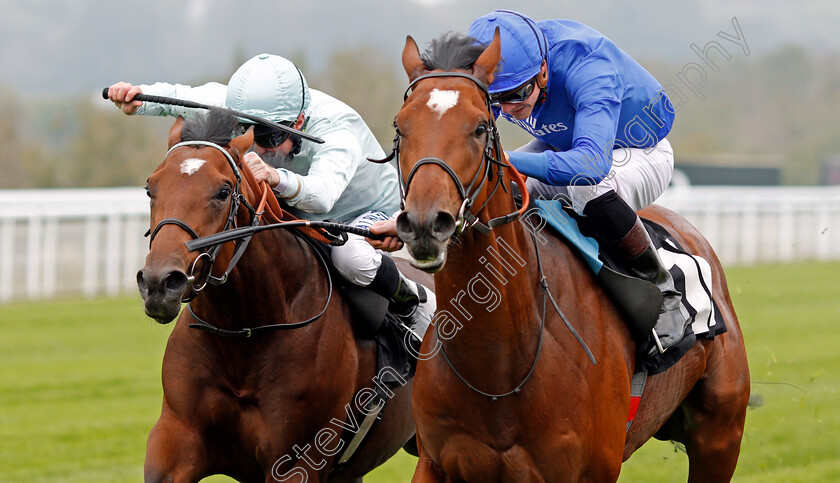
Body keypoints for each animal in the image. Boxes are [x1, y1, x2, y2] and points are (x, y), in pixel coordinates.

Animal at [141, 110, 426, 483]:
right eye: (150, 188)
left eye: (223, 191)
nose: (160, 282)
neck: (243, 333)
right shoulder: (176, 438)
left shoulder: (297, 460)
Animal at [392, 31, 748, 483]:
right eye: (400, 126)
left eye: (479, 127)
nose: (424, 224)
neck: (499, 366)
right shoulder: (436, 463)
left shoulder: (592, 468)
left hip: (720, 434)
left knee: (592, 189)